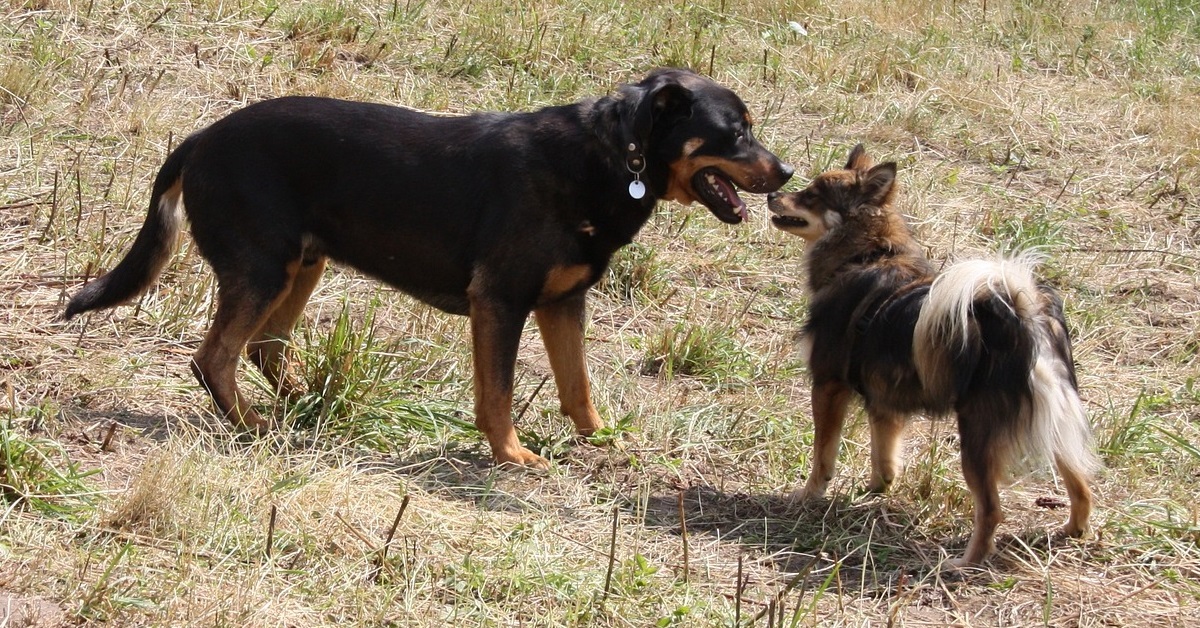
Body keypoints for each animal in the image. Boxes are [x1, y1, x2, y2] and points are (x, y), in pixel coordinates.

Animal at [68, 71, 796, 468]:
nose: (788, 172)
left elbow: (578, 386)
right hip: (264, 266)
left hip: (303, 264)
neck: (617, 157)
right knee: (215, 355)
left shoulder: (562, 303)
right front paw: (512, 456)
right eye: (735, 132)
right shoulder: (500, 302)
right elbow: (497, 393)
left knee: (265, 347)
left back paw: (302, 405)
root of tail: (200, 139)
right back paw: (252, 425)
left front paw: (601, 442)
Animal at [768, 145, 1099, 566]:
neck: (867, 255)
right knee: (1082, 485)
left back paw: (965, 563)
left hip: (976, 438)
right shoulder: (883, 402)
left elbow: (823, 454)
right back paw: (1072, 531)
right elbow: (884, 459)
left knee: (992, 510)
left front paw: (809, 495)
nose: (771, 195)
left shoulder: (828, 386)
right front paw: (874, 490)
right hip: (1057, 424)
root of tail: (1021, 314)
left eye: (811, 195)